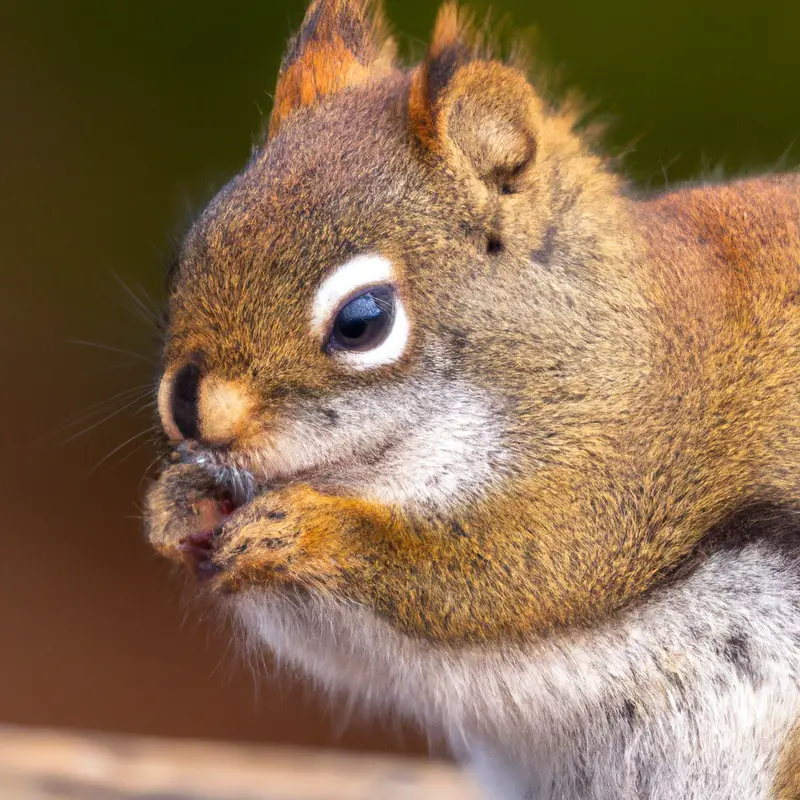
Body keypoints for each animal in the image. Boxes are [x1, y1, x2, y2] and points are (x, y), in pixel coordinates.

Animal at [144, 3, 800, 796]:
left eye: (363, 319)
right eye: (190, 250)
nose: (187, 411)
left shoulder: (616, 489)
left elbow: (487, 580)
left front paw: (308, 532)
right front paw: (178, 503)